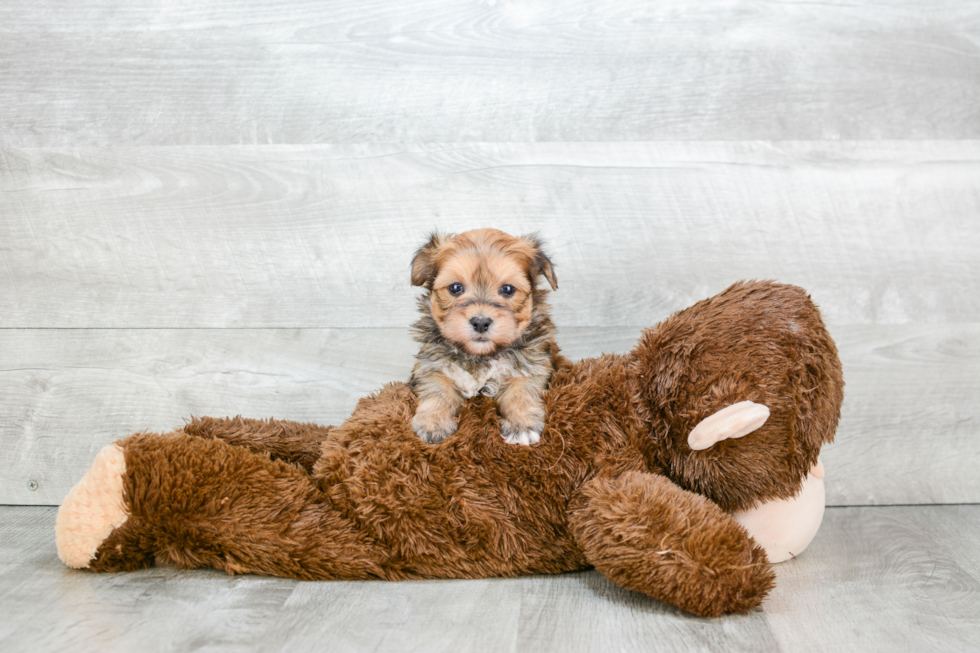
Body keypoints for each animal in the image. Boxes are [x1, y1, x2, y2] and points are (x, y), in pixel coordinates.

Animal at [408, 227, 560, 446]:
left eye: (507, 289)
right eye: (455, 288)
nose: (480, 322)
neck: (481, 356)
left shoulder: (533, 364)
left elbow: (522, 391)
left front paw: (521, 425)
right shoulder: (432, 363)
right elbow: (437, 390)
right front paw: (433, 423)